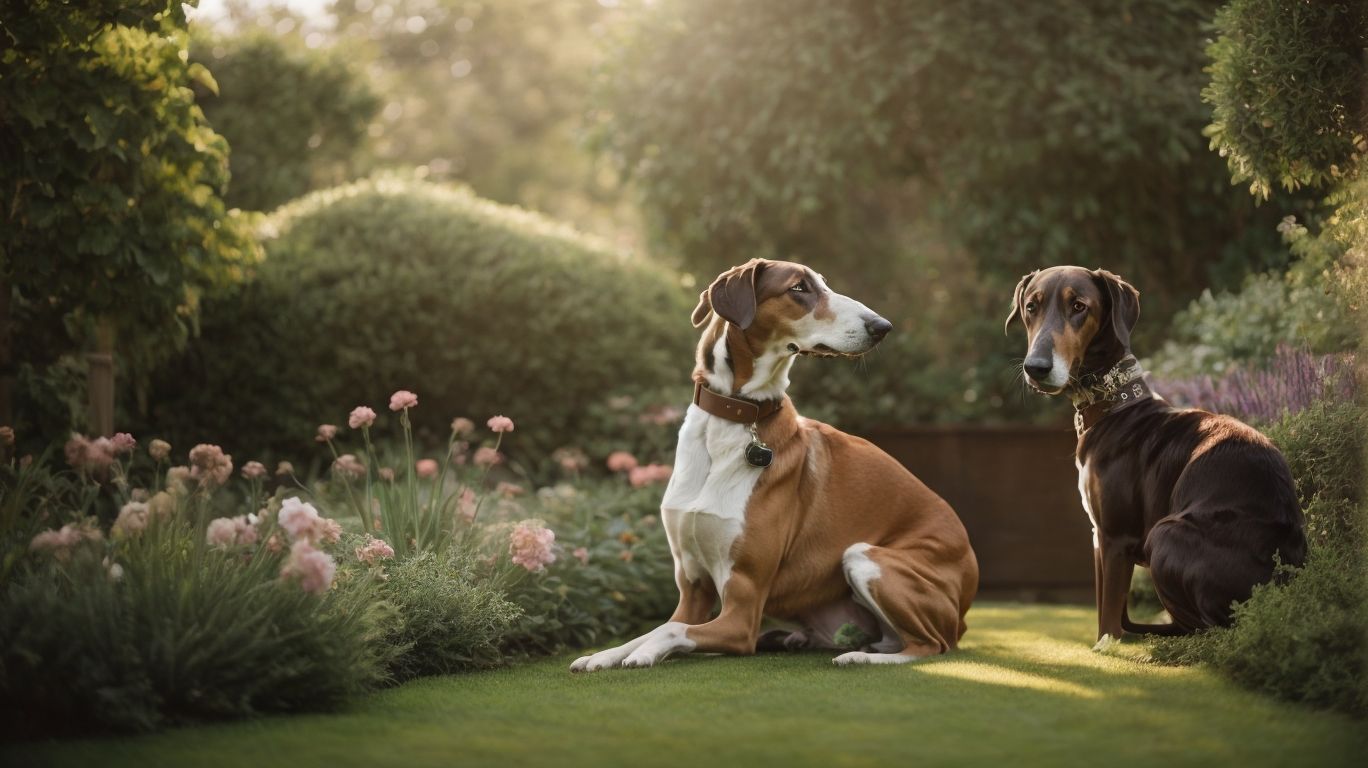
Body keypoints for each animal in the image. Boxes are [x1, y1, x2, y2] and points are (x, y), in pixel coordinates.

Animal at [571, 260, 979, 668]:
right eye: (799, 287)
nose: (882, 326)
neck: (735, 416)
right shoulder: (693, 590)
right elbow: (655, 628)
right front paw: (603, 655)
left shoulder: (742, 611)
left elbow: (669, 631)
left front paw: (642, 654)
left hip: (866, 557)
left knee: (929, 645)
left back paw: (858, 657)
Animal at [1006, 266, 1302, 643]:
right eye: (1031, 307)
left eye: (1079, 306)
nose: (1036, 368)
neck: (1115, 405)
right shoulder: (1099, 539)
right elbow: (1103, 607)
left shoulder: (1114, 537)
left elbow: (1108, 620)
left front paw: (1105, 648)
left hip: (1165, 535)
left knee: (1208, 629)